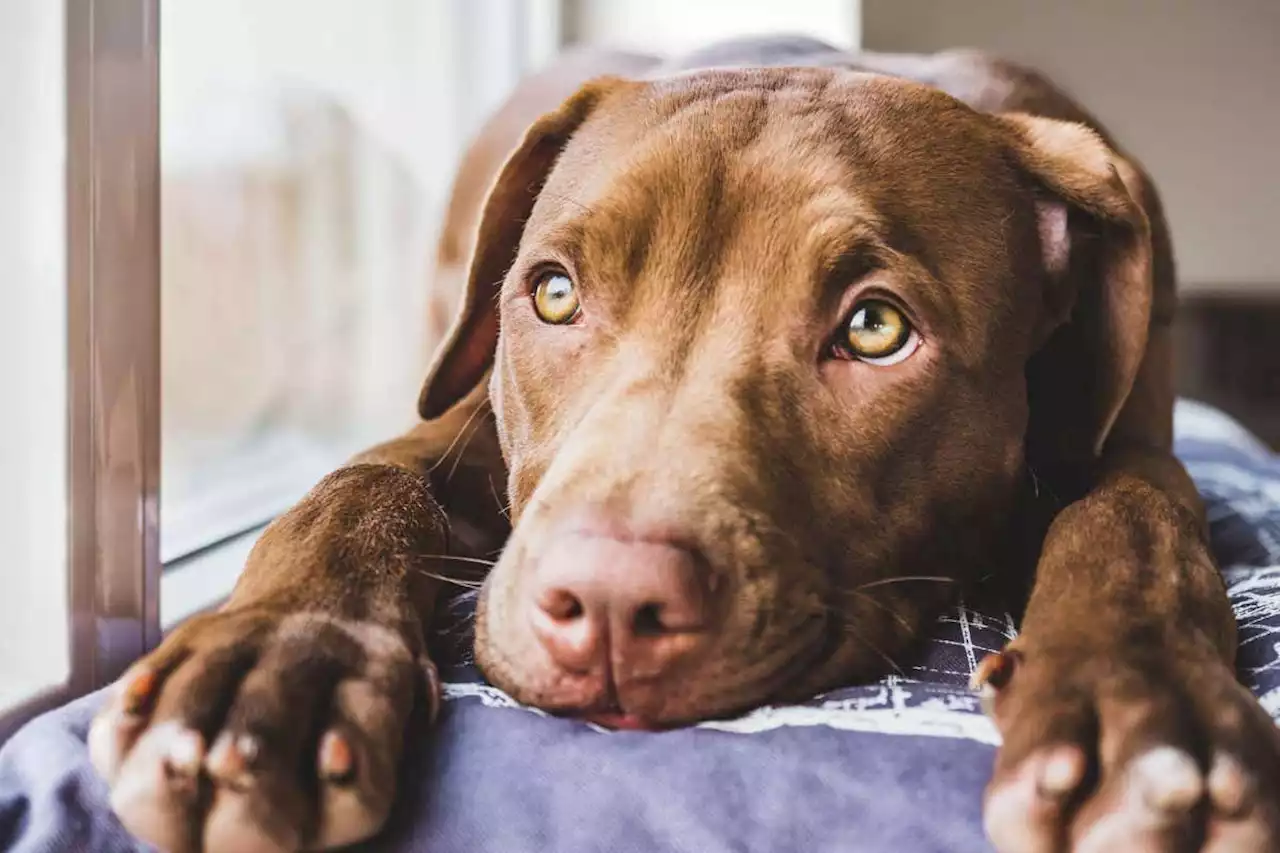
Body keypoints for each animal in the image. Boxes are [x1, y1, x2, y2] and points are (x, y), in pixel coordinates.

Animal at [85, 34, 1274, 850]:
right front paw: (275, 659)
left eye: (876, 328)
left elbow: (1135, 512)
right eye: (553, 294)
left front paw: (1136, 699)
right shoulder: (463, 428)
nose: (610, 605)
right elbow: (364, 481)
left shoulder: (1135, 447)